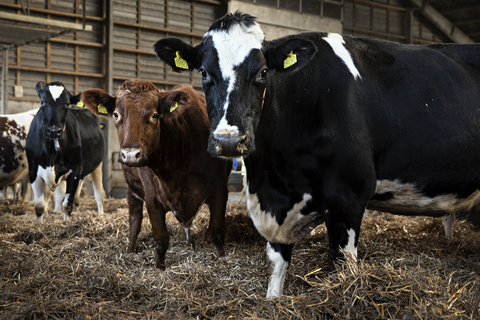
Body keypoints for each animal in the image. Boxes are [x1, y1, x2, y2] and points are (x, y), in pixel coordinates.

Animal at [25, 81, 105, 222]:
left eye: (67, 104)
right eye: (42, 102)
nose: (54, 131)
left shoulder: (75, 169)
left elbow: (67, 205)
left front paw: (66, 223)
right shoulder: (33, 170)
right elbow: (40, 206)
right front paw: (38, 224)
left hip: (97, 166)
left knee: (98, 194)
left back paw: (100, 215)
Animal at [80, 80, 232, 270]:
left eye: (154, 115)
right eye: (115, 114)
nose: (130, 154)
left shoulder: (220, 188)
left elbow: (217, 233)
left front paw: (222, 259)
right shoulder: (152, 196)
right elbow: (161, 239)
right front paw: (160, 268)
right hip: (132, 189)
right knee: (135, 220)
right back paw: (130, 250)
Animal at [153, 12, 480, 298]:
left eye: (262, 72)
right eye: (204, 72)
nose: (229, 141)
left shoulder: (348, 194)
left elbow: (340, 266)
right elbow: (277, 265)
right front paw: (273, 300)